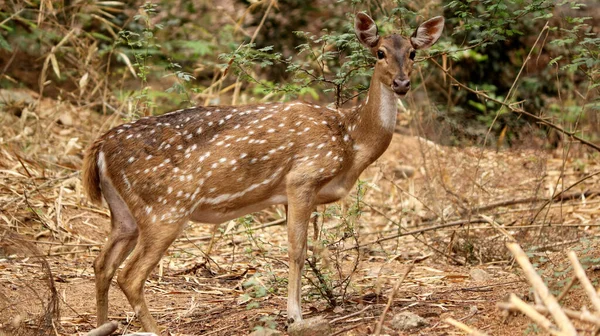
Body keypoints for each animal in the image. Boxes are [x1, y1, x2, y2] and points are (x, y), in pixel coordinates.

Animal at [82, 13, 442, 334]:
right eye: (380, 52)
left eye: (413, 52)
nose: (401, 83)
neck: (350, 139)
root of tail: (100, 147)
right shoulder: (302, 178)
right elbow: (297, 251)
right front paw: (296, 317)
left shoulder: (288, 194)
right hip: (164, 208)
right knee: (130, 275)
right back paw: (152, 329)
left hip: (125, 213)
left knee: (102, 264)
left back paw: (103, 326)